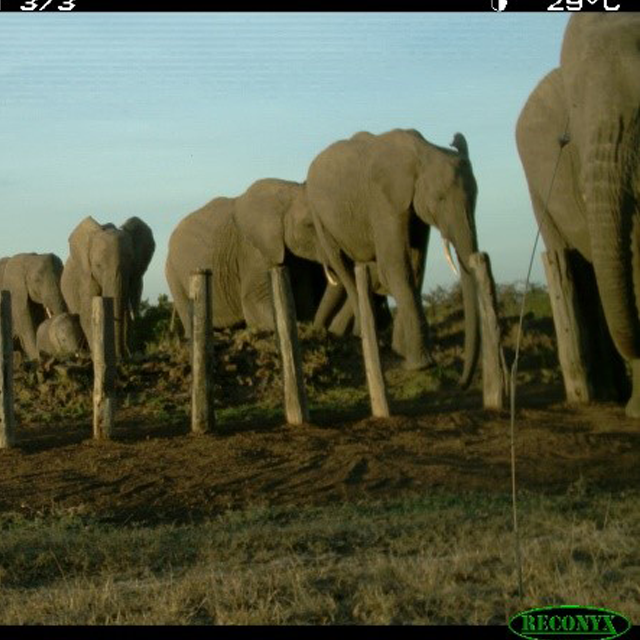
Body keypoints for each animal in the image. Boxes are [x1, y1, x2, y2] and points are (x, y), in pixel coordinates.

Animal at [61, 216, 155, 359]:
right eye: (98, 265)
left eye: (131, 263)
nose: (120, 356)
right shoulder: (87, 278)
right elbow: (88, 314)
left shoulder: (136, 277)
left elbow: (130, 313)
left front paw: (127, 355)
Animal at [306, 127, 481, 381]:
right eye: (439, 198)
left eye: (476, 197)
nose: (462, 382)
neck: (424, 152)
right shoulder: (384, 200)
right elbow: (396, 266)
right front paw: (421, 365)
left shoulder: (414, 207)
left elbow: (416, 266)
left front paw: (402, 351)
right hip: (319, 217)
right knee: (343, 268)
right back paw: (364, 337)